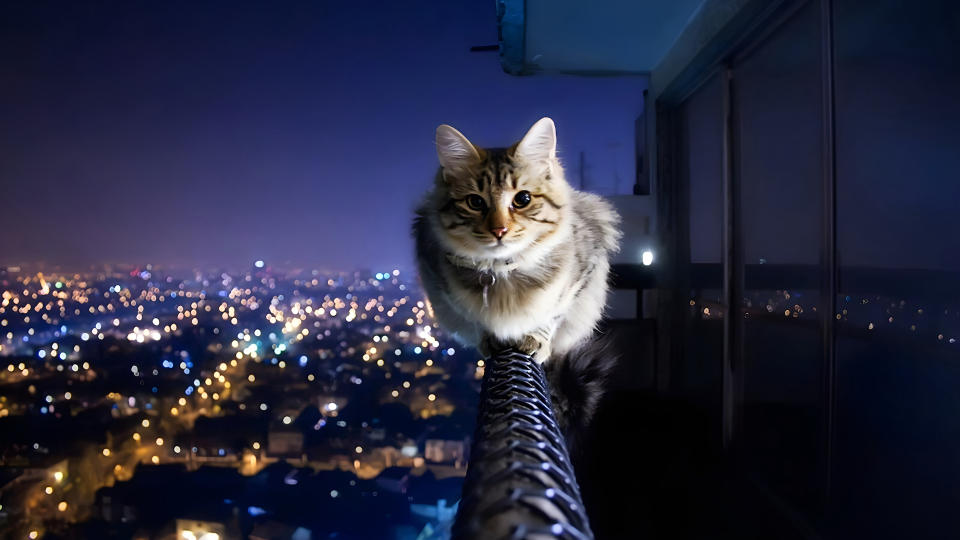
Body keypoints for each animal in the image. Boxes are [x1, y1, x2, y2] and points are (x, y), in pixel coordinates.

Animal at [412, 116, 624, 446]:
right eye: (475, 202)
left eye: (522, 199)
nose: (499, 230)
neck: (502, 270)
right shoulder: (440, 286)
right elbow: (478, 321)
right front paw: (492, 338)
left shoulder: (582, 276)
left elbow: (552, 314)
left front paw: (536, 338)